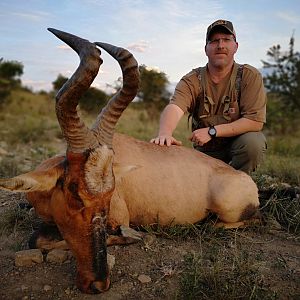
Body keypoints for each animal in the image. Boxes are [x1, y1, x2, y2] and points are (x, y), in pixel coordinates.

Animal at [0, 29, 258, 294]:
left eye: (110, 195)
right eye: (74, 192)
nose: (98, 284)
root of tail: (247, 181)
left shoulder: (118, 218)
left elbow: (38, 239)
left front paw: (133, 236)